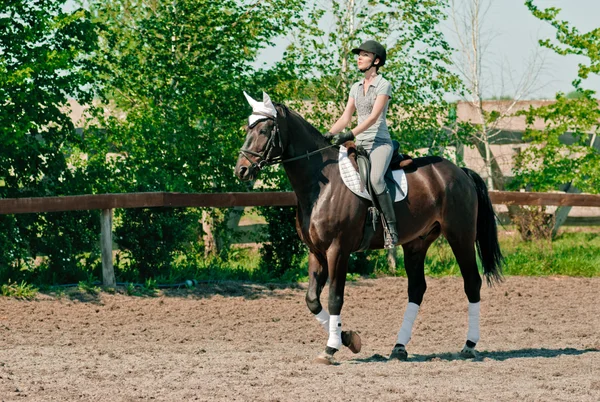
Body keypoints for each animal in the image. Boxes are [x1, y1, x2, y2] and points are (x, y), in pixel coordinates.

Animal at [233, 92, 502, 366]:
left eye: (264, 130)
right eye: (247, 128)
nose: (241, 170)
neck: (322, 186)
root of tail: (461, 172)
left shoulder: (337, 251)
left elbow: (334, 298)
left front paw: (331, 348)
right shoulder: (316, 252)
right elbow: (312, 300)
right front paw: (348, 338)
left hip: (460, 236)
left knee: (472, 283)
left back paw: (469, 345)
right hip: (417, 244)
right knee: (417, 289)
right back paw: (399, 348)